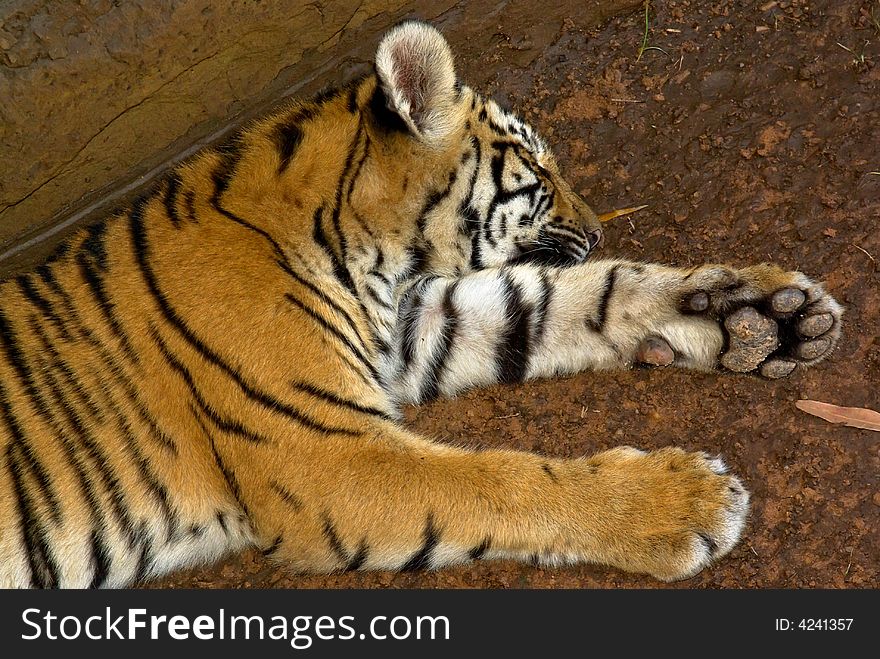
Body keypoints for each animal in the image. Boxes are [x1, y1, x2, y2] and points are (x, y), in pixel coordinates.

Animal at [0, 21, 844, 588]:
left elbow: (578, 294)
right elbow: (499, 478)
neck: (363, 251)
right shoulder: (324, 453)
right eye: (537, 165)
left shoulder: (416, 324)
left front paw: (761, 316)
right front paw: (683, 500)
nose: (601, 225)